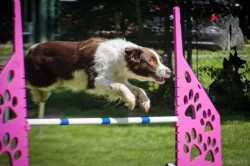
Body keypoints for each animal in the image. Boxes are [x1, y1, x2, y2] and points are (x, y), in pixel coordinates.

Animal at [24, 38, 171, 112]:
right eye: (151, 61)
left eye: (160, 59)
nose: (169, 71)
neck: (120, 58)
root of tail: (31, 49)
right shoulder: (96, 79)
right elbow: (122, 88)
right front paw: (130, 101)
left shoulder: (118, 78)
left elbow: (137, 89)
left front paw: (145, 103)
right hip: (45, 79)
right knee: (28, 82)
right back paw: (36, 95)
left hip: (54, 81)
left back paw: (40, 97)